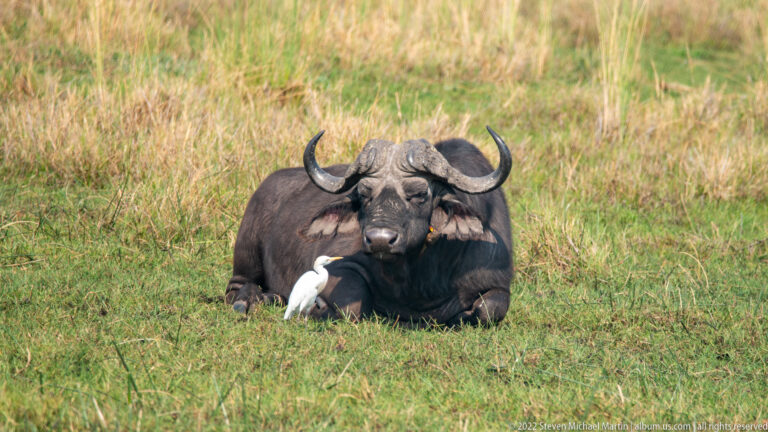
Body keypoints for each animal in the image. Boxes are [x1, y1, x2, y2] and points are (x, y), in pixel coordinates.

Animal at [225, 126, 514, 326]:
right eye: (364, 194)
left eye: (420, 194)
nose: (380, 240)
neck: (418, 277)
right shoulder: (340, 267)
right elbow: (351, 308)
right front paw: (318, 308)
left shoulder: (498, 283)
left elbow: (490, 310)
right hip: (246, 255)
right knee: (237, 287)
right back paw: (249, 301)